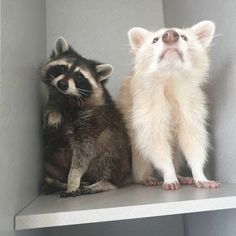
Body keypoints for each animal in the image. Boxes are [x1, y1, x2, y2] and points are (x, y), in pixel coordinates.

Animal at [41, 36, 132, 195]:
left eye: (79, 76)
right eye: (63, 68)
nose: (62, 84)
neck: (68, 98)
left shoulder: (92, 118)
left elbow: (84, 151)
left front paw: (73, 179)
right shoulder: (56, 98)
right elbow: (51, 108)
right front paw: (54, 114)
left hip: (118, 154)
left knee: (108, 150)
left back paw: (106, 182)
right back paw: (59, 182)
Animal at [120, 20, 221, 190]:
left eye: (184, 37)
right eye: (155, 40)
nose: (170, 35)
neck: (170, 77)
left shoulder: (191, 105)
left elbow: (193, 140)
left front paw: (199, 173)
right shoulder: (147, 106)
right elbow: (155, 142)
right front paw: (168, 173)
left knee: (175, 152)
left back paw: (180, 175)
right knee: (140, 153)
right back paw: (144, 176)